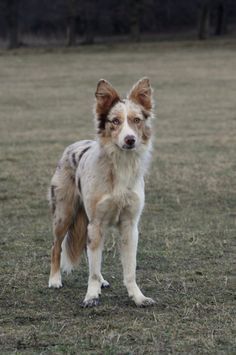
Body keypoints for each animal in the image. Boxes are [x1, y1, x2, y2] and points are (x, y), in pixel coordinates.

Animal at [48, 78, 155, 308]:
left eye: (136, 120)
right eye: (115, 121)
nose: (130, 139)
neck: (121, 164)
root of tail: (74, 145)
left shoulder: (129, 225)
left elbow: (129, 270)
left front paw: (138, 297)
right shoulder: (96, 223)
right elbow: (93, 270)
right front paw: (91, 296)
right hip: (64, 214)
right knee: (56, 246)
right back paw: (54, 280)